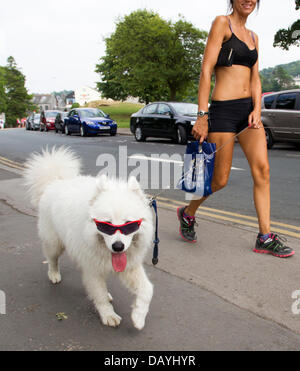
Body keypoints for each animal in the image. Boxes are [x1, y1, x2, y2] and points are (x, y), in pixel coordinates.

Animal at [22, 147, 155, 330]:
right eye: (106, 225)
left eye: (129, 224)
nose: (118, 246)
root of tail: (55, 182)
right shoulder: (93, 269)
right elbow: (99, 295)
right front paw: (108, 315)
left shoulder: (129, 266)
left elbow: (147, 290)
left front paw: (138, 317)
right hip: (54, 243)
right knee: (52, 259)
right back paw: (54, 274)